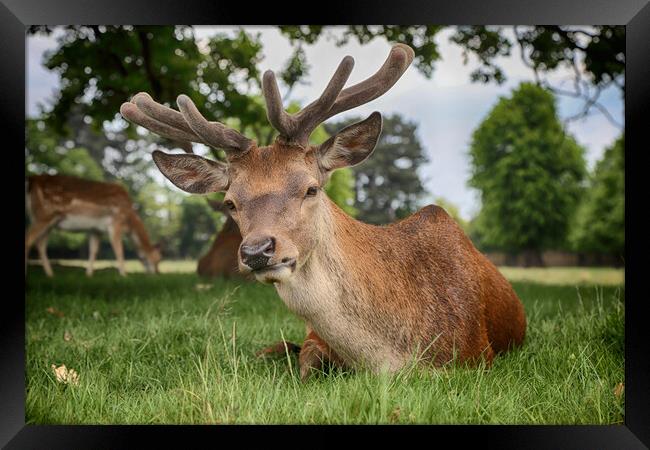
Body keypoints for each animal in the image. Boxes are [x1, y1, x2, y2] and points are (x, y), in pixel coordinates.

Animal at [26, 173, 161, 276]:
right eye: (158, 259)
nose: (157, 272)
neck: (129, 221)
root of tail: (33, 180)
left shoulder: (96, 229)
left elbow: (94, 250)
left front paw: (89, 274)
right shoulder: (116, 222)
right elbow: (119, 250)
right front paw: (124, 275)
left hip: (48, 220)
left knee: (40, 244)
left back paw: (50, 274)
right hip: (44, 214)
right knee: (29, 240)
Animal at [120, 43, 528, 380]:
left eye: (310, 188)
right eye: (230, 202)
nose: (256, 251)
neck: (394, 356)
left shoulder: (478, 355)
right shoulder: (316, 339)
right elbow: (305, 365)